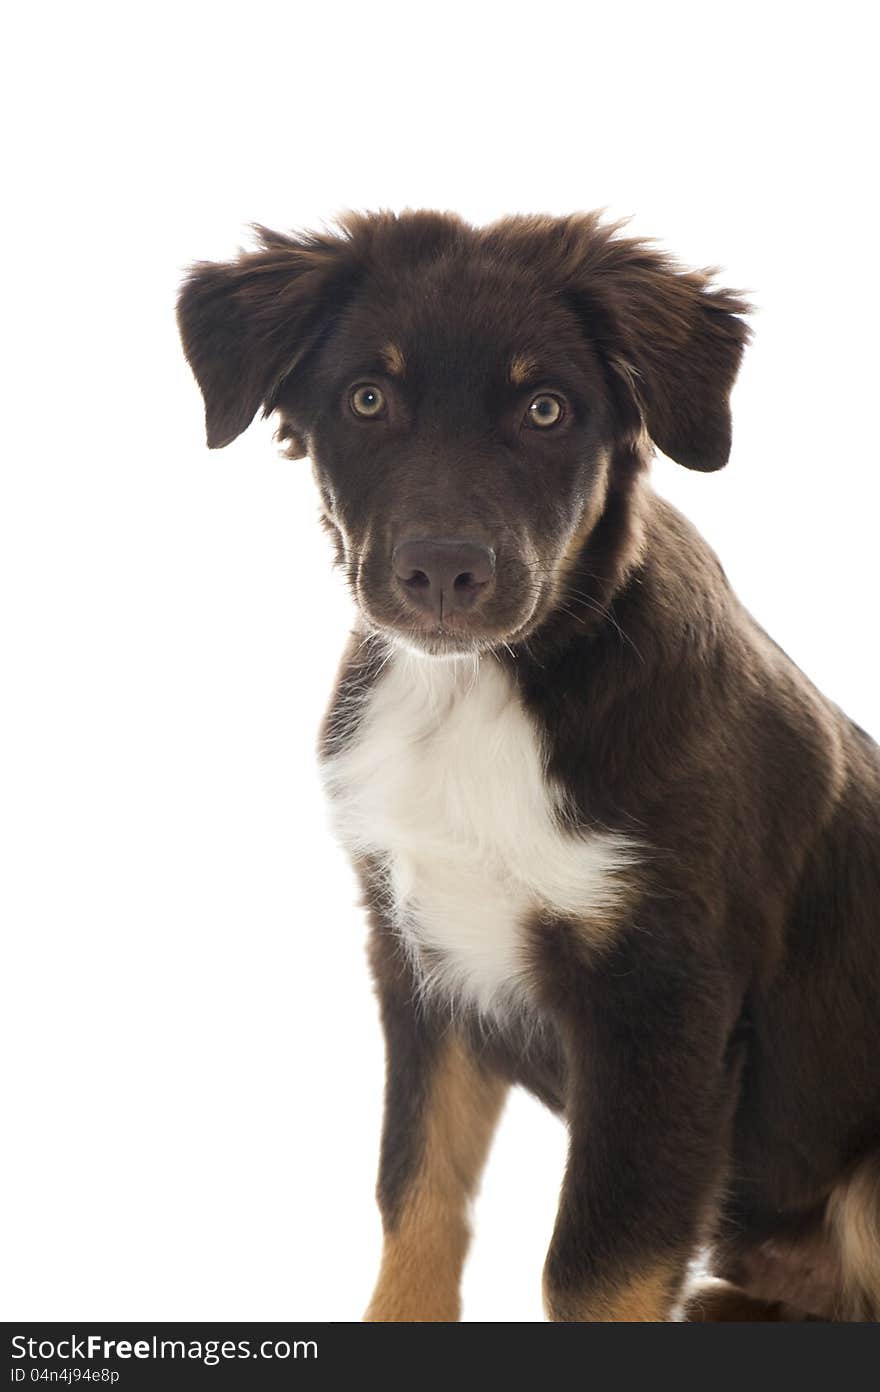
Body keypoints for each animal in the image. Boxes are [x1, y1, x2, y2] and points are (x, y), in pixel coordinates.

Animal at [176, 211, 880, 1319]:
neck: (479, 690)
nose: (443, 571)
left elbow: (599, 1266)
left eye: (546, 409)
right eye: (368, 398)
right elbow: (416, 1193)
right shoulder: (419, 954)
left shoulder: (661, 995)